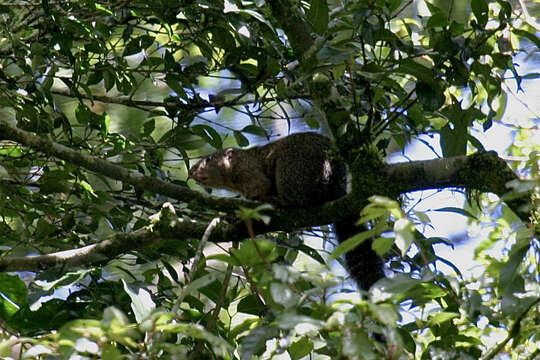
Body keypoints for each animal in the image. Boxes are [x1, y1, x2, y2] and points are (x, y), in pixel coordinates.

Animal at [188, 132, 382, 290]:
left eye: (209, 159)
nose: (191, 171)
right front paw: (234, 217)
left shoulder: (250, 173)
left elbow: (260, 189)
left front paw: (240, 215)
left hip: (291, 170)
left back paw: (280, 202)